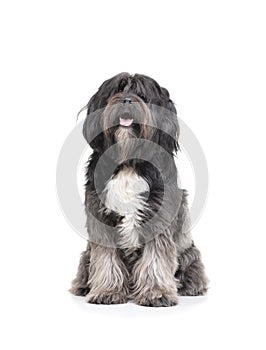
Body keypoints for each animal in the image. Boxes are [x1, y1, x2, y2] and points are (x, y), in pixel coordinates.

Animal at [69, 72, 208, 304]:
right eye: (117, 90)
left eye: (141, 94)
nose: (126, 100)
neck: (128, 159)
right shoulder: (101, 216)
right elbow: (106, 258)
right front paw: (107, 291)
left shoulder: (158, 214)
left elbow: (156, 258)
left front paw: (156, 292)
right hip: (86, 254)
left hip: (189, 253)